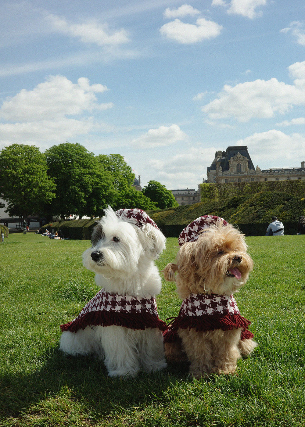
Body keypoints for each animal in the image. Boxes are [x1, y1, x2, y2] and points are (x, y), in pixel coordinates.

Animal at [59, 207, 166, 378]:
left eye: (116, 238)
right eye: (98, 237)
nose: (94, 254)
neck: (127, 280)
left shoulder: (147, 320)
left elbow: (150, 346)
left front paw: (154, 365)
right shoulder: (114, 323)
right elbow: (120, 349)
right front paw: (124, 371)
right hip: (75, 335)